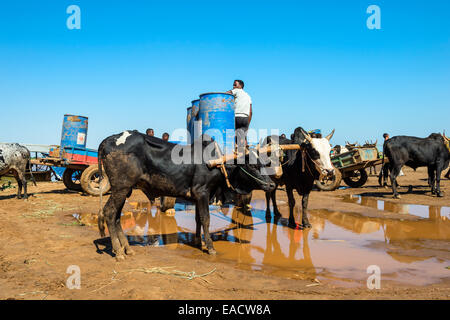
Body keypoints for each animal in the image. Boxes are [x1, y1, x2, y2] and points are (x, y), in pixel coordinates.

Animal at [96, 130, 276, 260]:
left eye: (264, 163)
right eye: (252, 165)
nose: (272, 185)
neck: (218, 165)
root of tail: (109, 139)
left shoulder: (197, 198)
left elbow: (198, 220)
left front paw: (198, 241)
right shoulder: (202, 193)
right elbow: (205, 219)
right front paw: (210, 247)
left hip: (124, 190)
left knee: (116, 217)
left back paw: (127, 249)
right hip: (121, 188)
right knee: (110, 213)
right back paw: (119, 252)